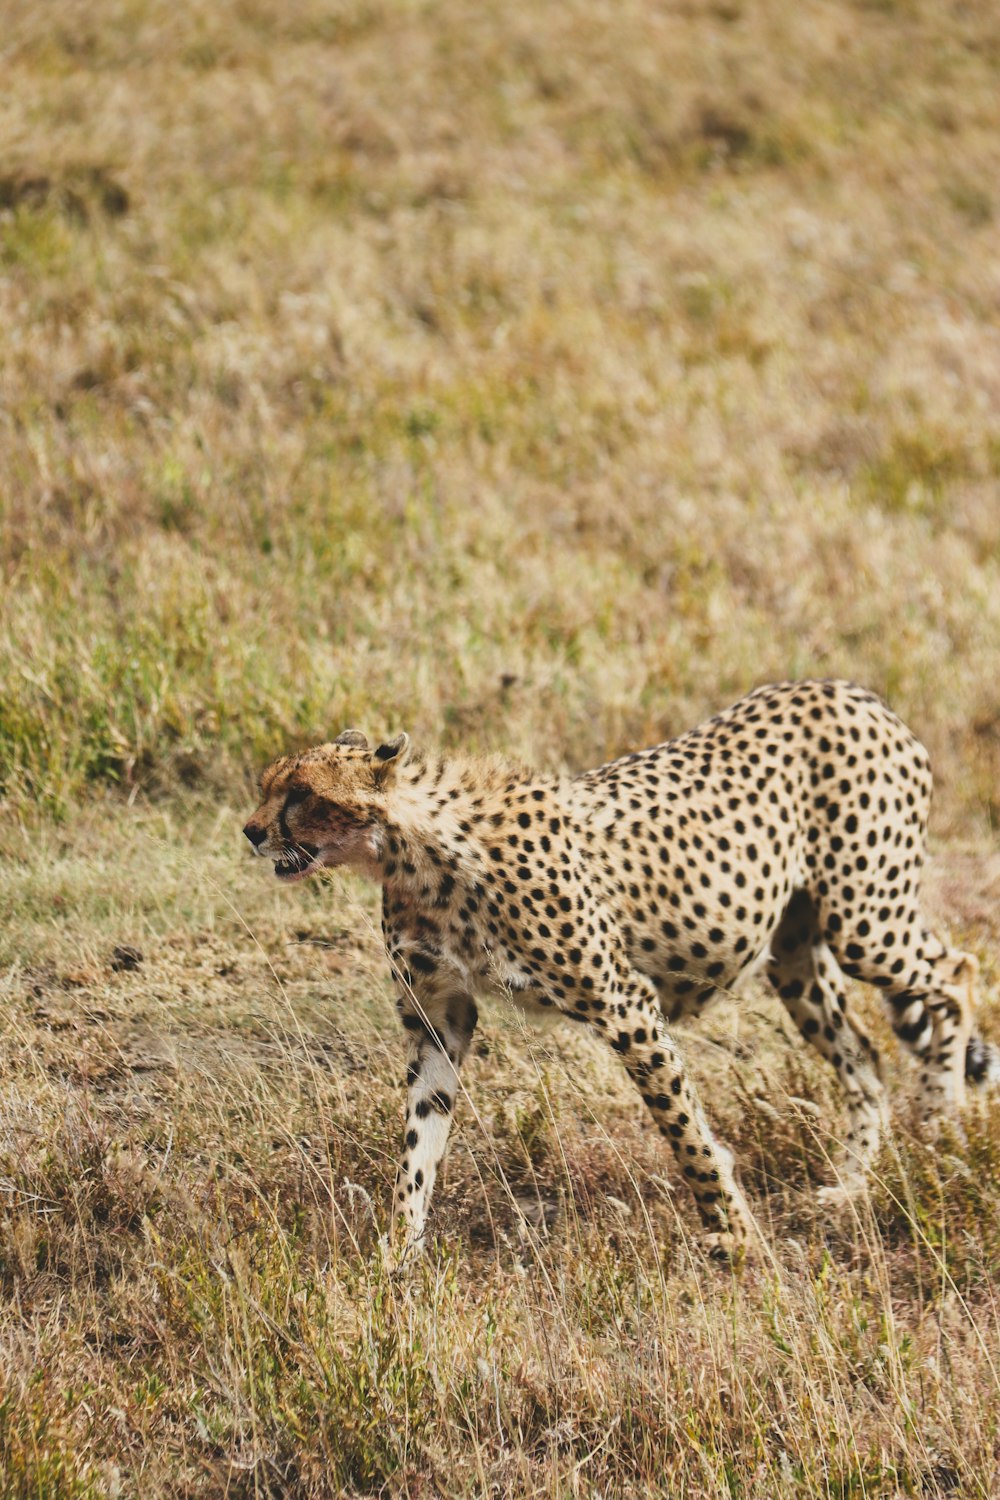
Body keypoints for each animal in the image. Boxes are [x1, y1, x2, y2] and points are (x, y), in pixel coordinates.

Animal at [244, 687, 1000, 1260]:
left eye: (302, 793)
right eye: (267, 786)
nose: (251, 832)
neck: (410, 851)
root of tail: (852, 691)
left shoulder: (624, 1003)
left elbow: (684, 1129)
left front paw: (734, 1237)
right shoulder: (438, 1019)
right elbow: (418, 1141)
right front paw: (397, 1252)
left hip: (862, 923)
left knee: (958, 971)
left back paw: (941, 1127)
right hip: (795, 954)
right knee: (866, 1055)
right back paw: (850, 1185)